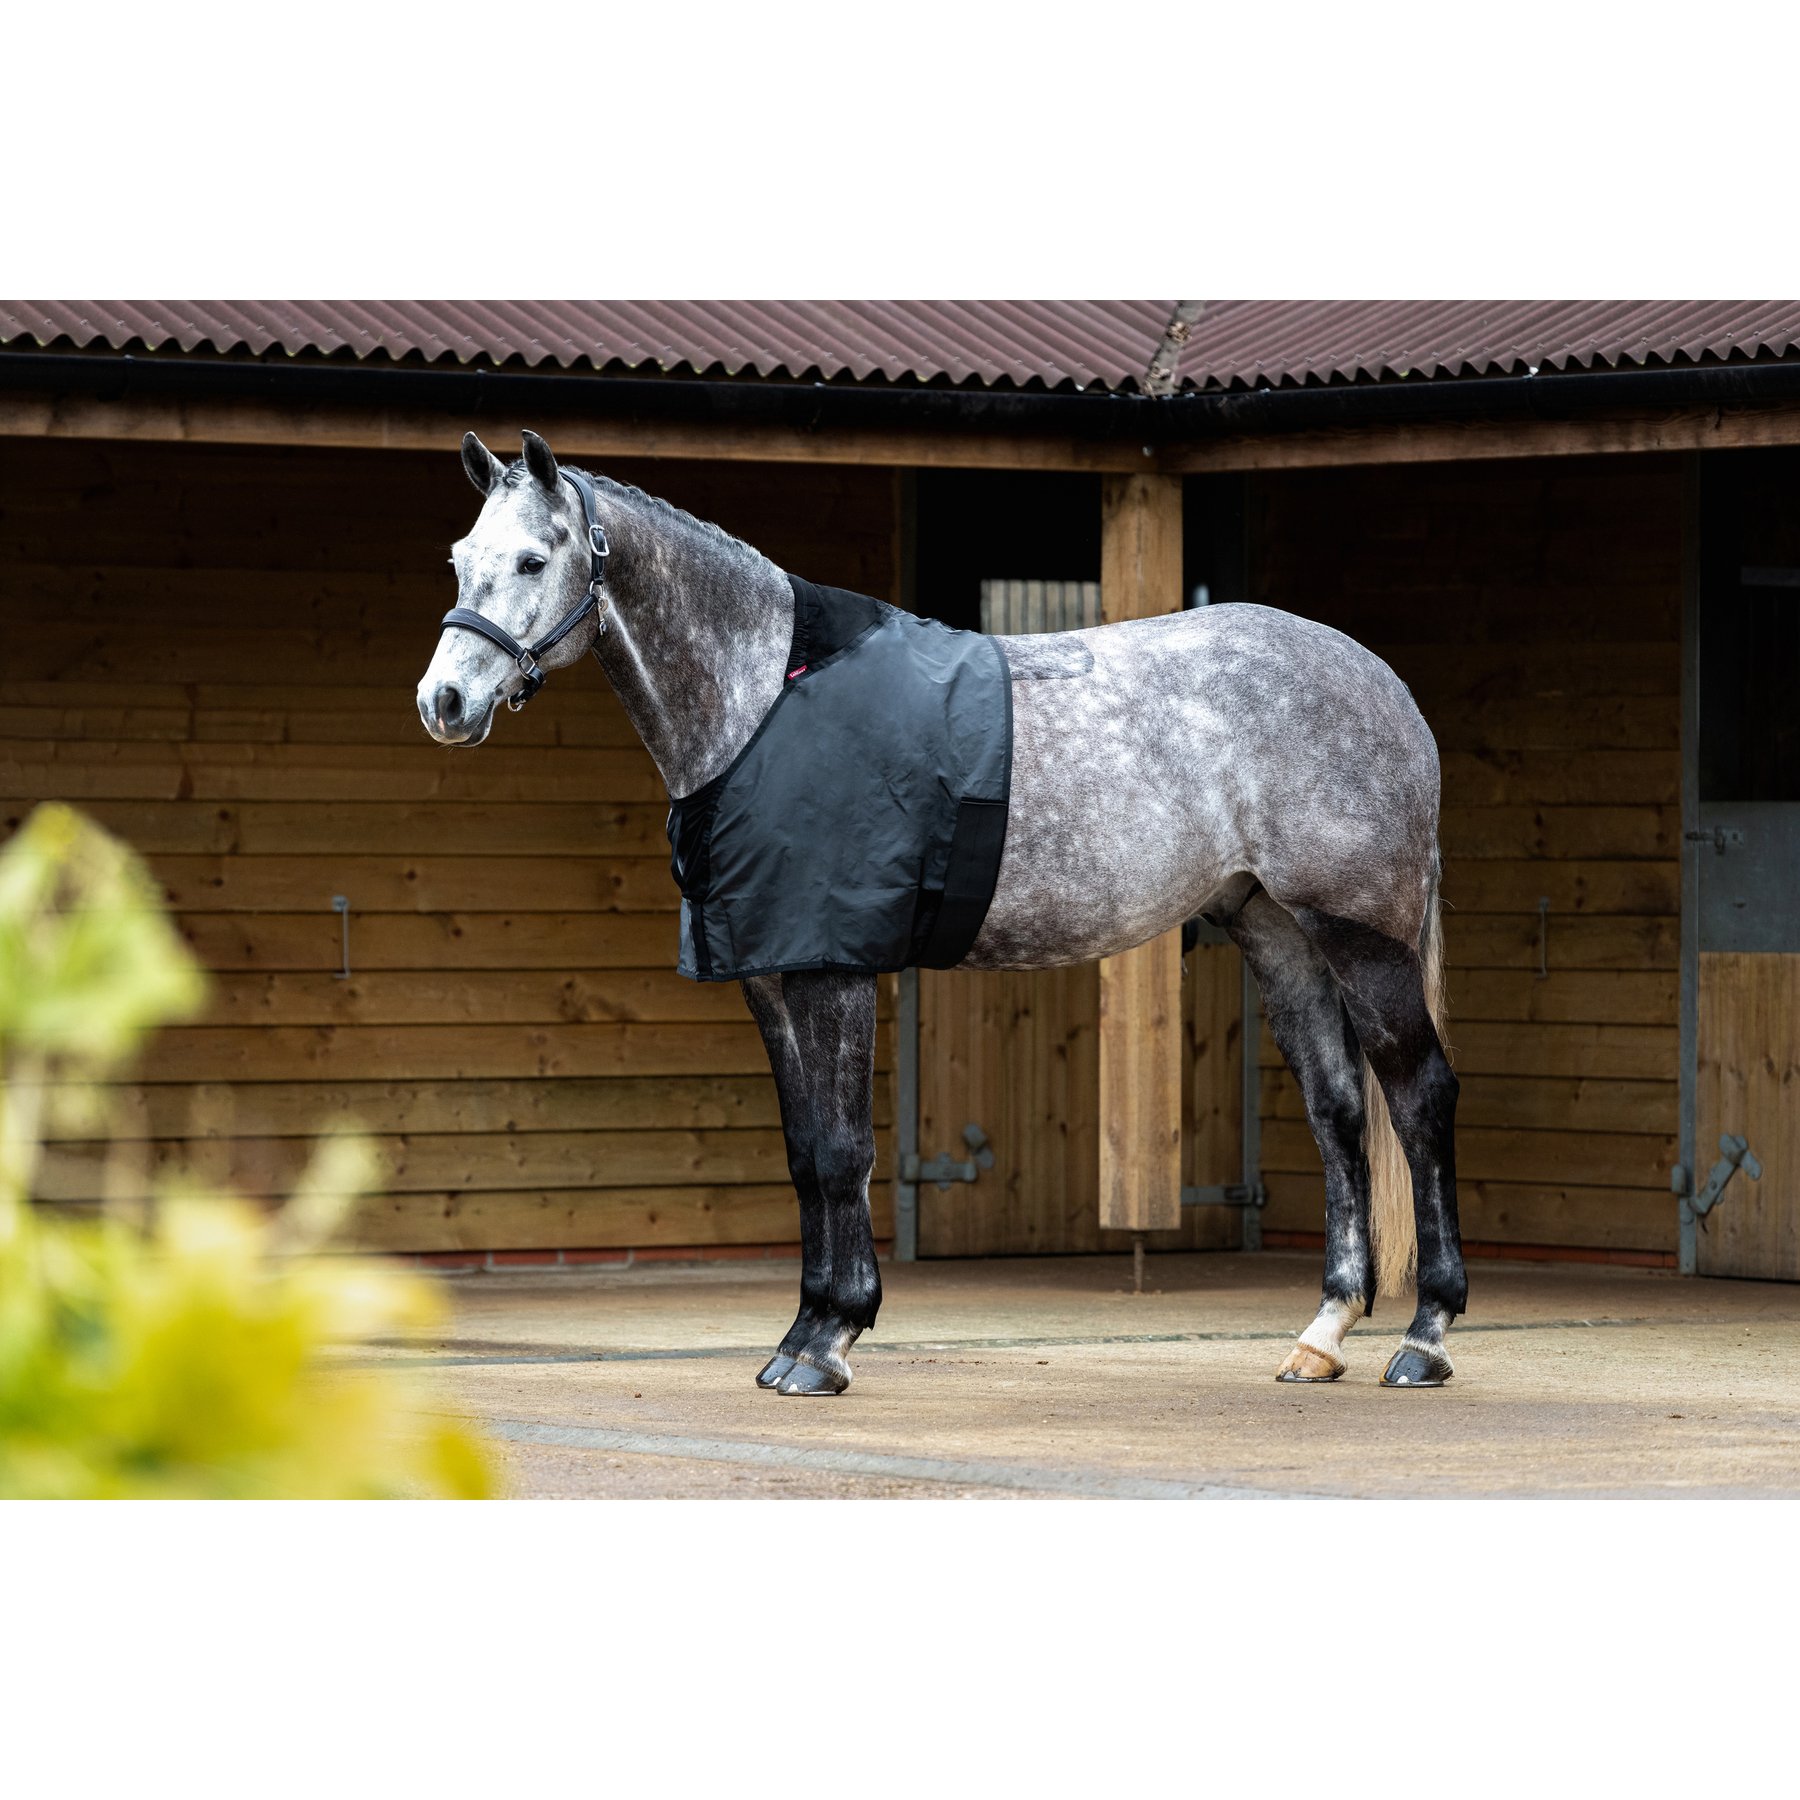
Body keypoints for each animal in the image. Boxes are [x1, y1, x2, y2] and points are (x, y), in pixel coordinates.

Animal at [416, 430, 1463, 1396]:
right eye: (460, 560)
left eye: (534, 560)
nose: (445, 702)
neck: (765, 701)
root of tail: (1388, 687)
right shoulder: (768, 978)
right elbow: (806, 1155)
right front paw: (800, 1334)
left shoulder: (832, 969)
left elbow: (844, 1150)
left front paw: (829, 1343)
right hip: (1279, 932)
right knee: (1338, 1109)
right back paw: (1323, 1334)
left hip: (1362, 938)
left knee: (1418, 1095)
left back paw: (1426, 1337)